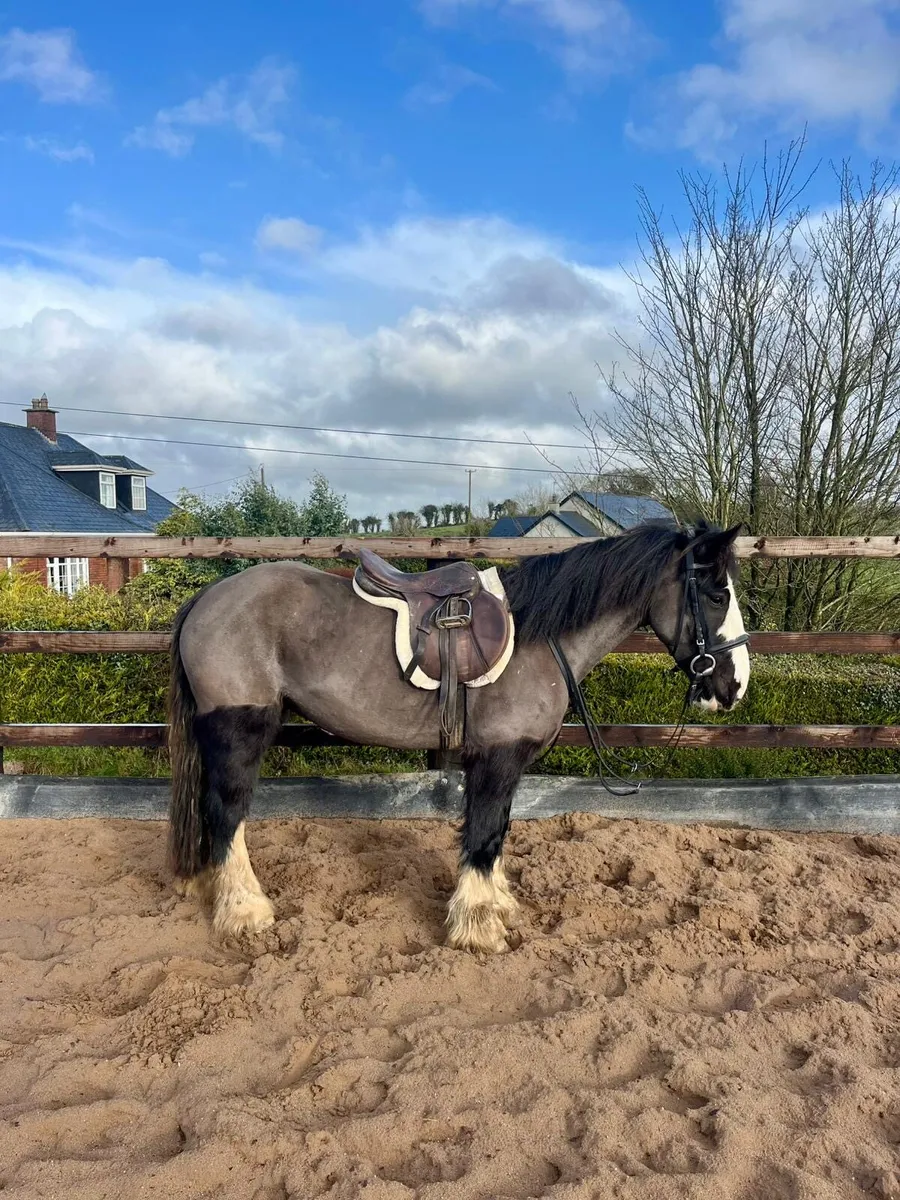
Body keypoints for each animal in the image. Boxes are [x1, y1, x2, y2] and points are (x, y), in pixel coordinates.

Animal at [167, 519, 750, 953]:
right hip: (241, 728)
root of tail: (206, 599)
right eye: (717, 594)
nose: (735, 685)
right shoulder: (497, 759)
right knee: (226, 812)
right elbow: (486, 834)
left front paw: (496, 905)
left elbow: (497, 831)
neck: (540, 636)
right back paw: (245, 911)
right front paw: (479, 927)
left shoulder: (501, 762)